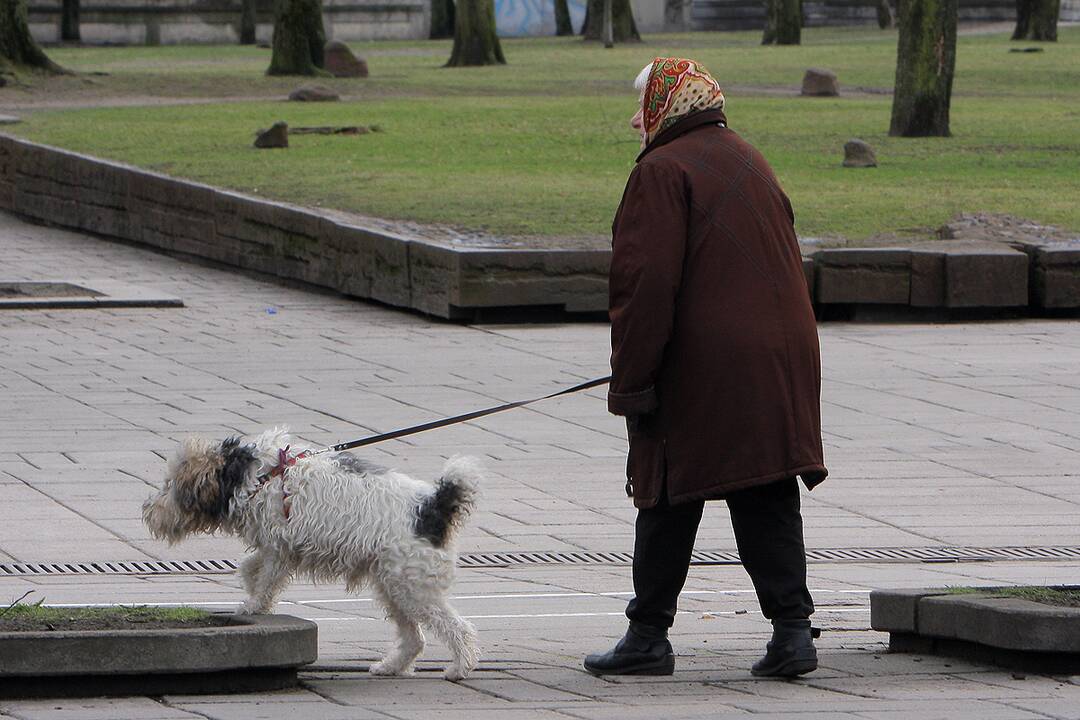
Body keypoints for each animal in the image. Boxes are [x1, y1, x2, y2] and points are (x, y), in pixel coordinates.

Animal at [143, 427, 481, 682]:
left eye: (170, 485)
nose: (147, 510)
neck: (257, 477)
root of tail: (434, 504)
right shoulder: (274, 546)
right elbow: (251, 566)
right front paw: (250, 586)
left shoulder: (279, 549)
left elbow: (266, 582)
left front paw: (254, 606)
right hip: (393, 587)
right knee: (414, 638)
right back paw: (391, 667)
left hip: (413, 587)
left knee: (458, 628)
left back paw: (459, 668)